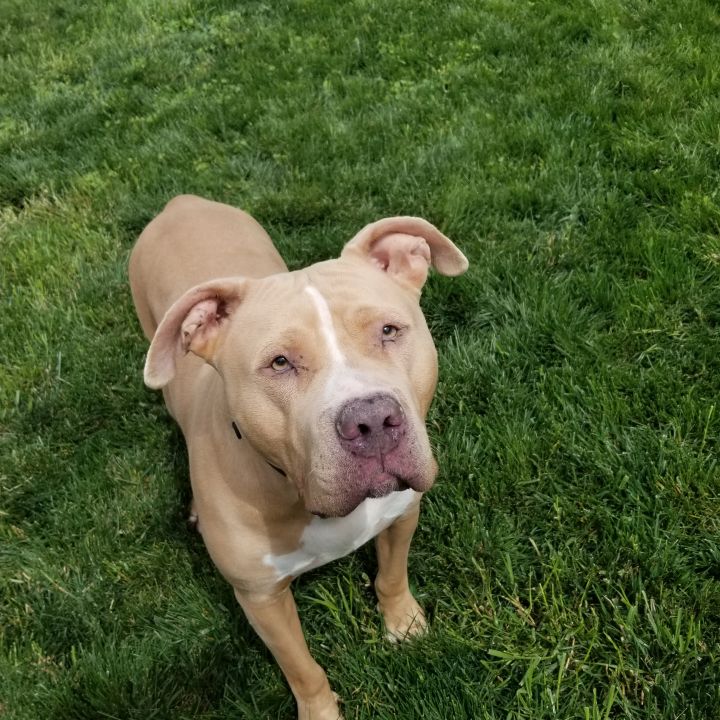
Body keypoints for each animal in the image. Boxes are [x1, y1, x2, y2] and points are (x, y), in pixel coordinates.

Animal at [129, 194, 466, 716]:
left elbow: (392, 577)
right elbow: (301, 669)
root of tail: (181, 202)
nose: (371, 422)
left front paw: (404, 626)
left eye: (389, 330)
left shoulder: (402, 512)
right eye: (280, 362)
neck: (295, 490)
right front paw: (321, 711)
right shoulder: (261, 598)